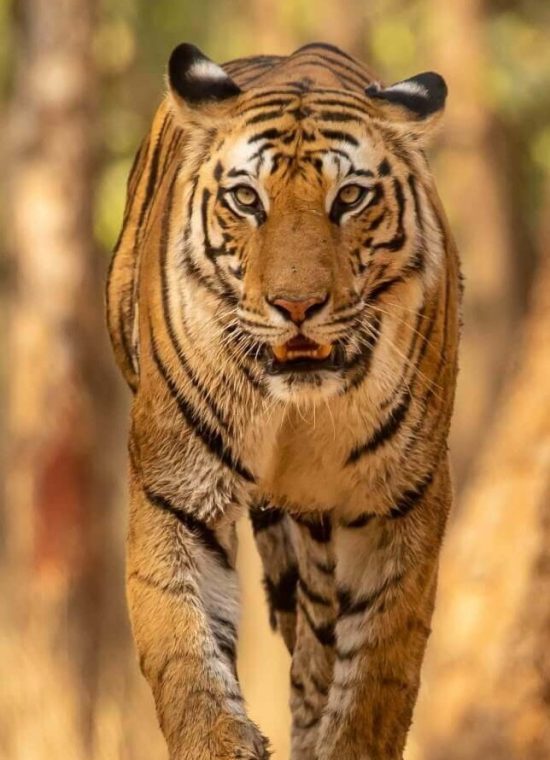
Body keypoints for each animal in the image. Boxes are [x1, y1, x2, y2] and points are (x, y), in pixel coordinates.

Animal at [106, 41, 460, 760]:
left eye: (349, 197)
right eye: (247, 198)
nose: (297, 307)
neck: (294, 407)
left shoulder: (403, 501)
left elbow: (377, 668)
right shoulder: (174, 487)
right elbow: (184, 645)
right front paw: (218, 740)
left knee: (319, 652)